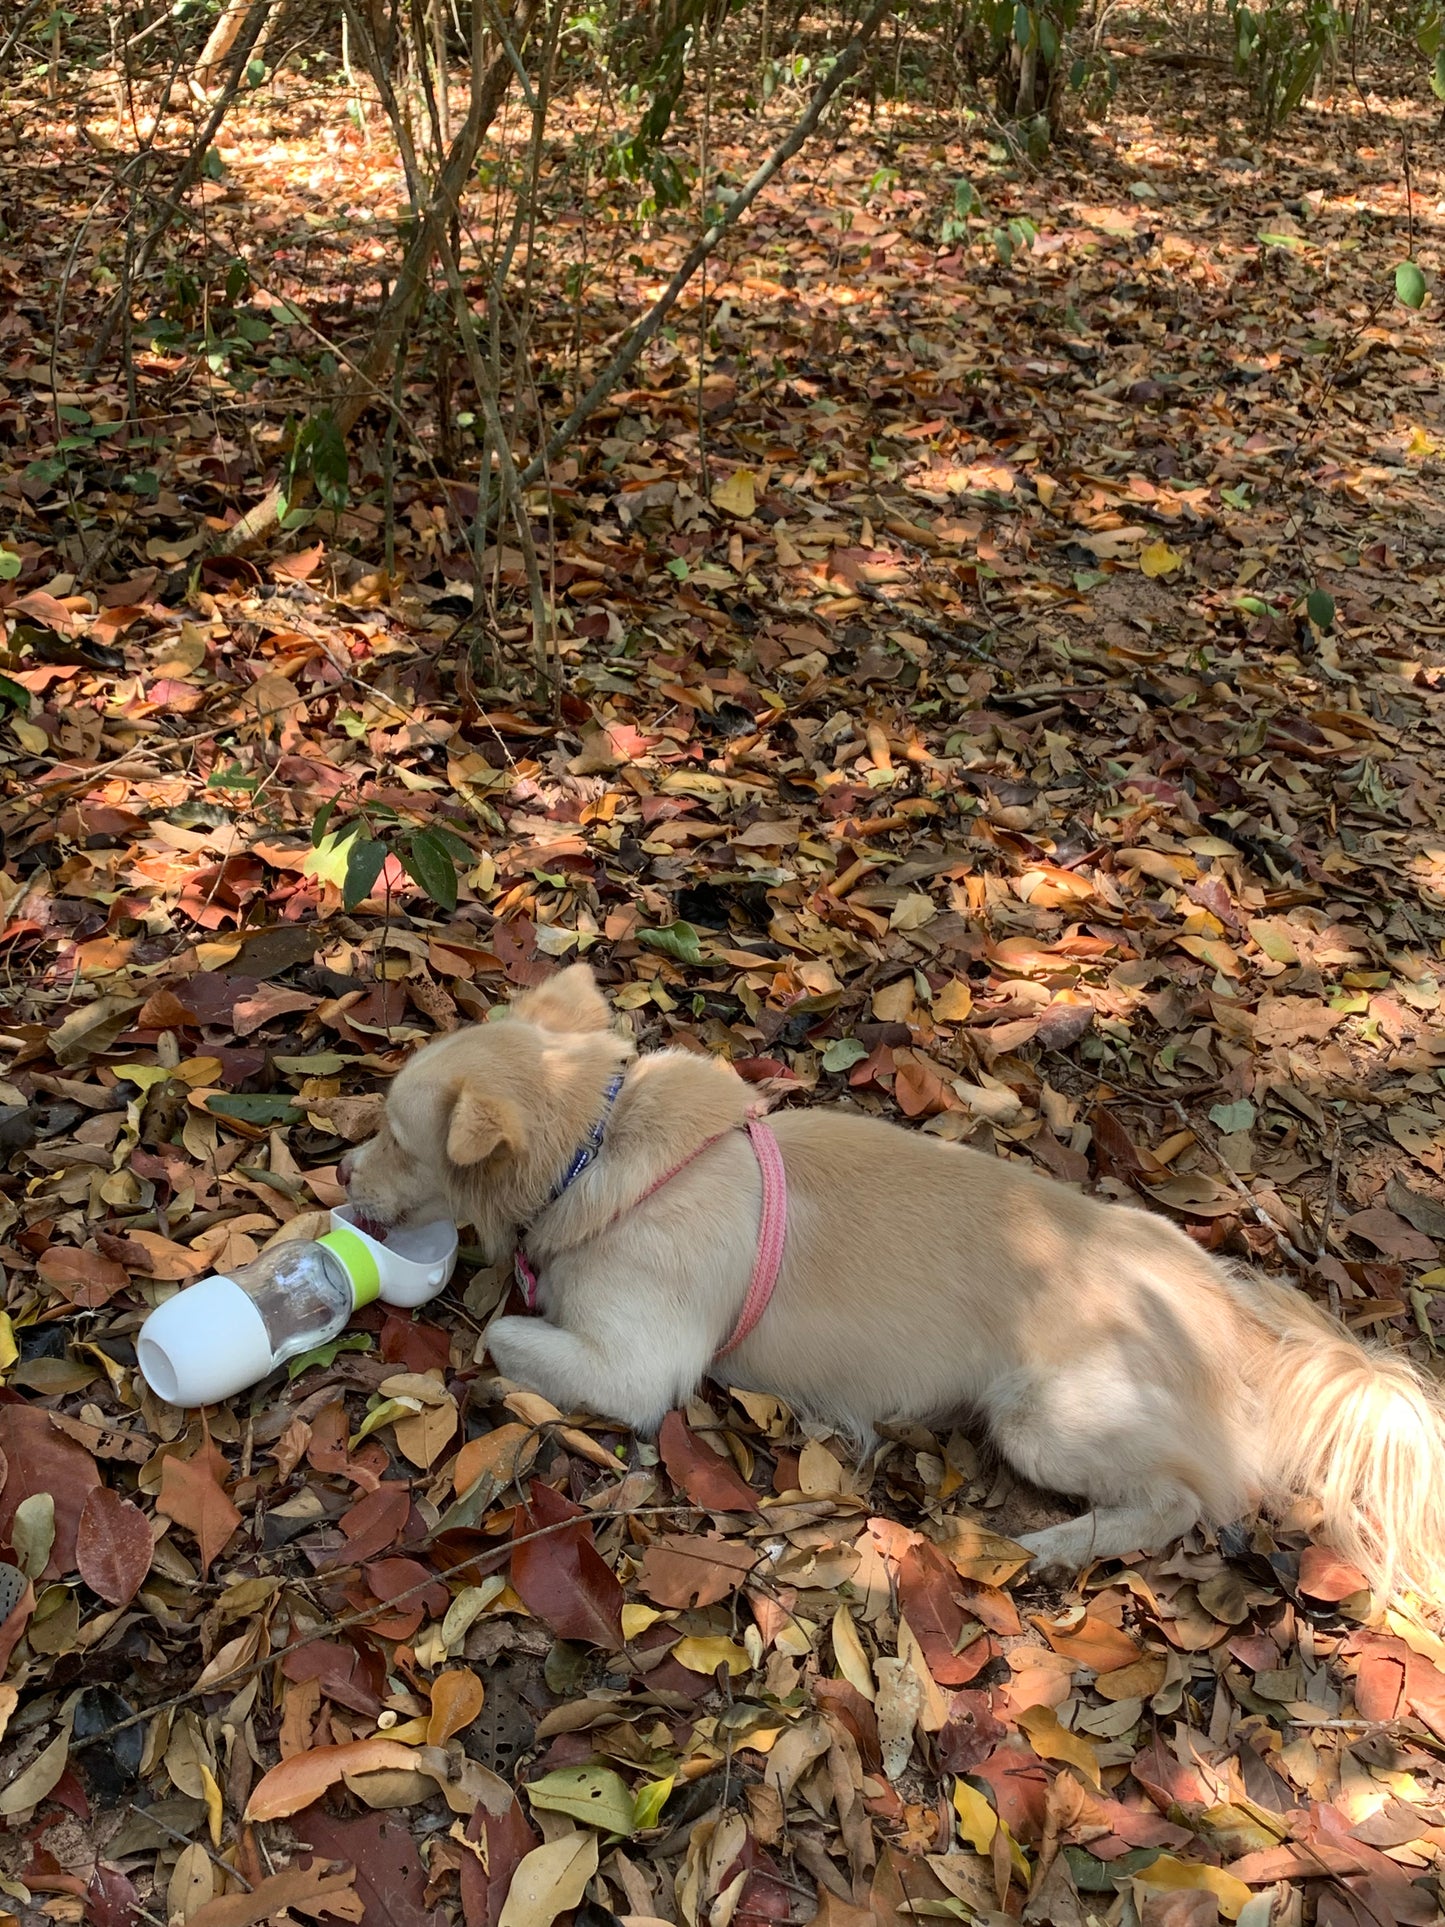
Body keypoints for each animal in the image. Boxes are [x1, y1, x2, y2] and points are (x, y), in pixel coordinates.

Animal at [342, 963, 1445, 1595]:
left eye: (394, 1137)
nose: (339, 1172)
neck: (598, 1144)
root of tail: (1223, 1309)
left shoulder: (636, 1369)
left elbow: (503, 1333)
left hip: (1044, 1416)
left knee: (1182, 1500)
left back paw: (1058, 1546)